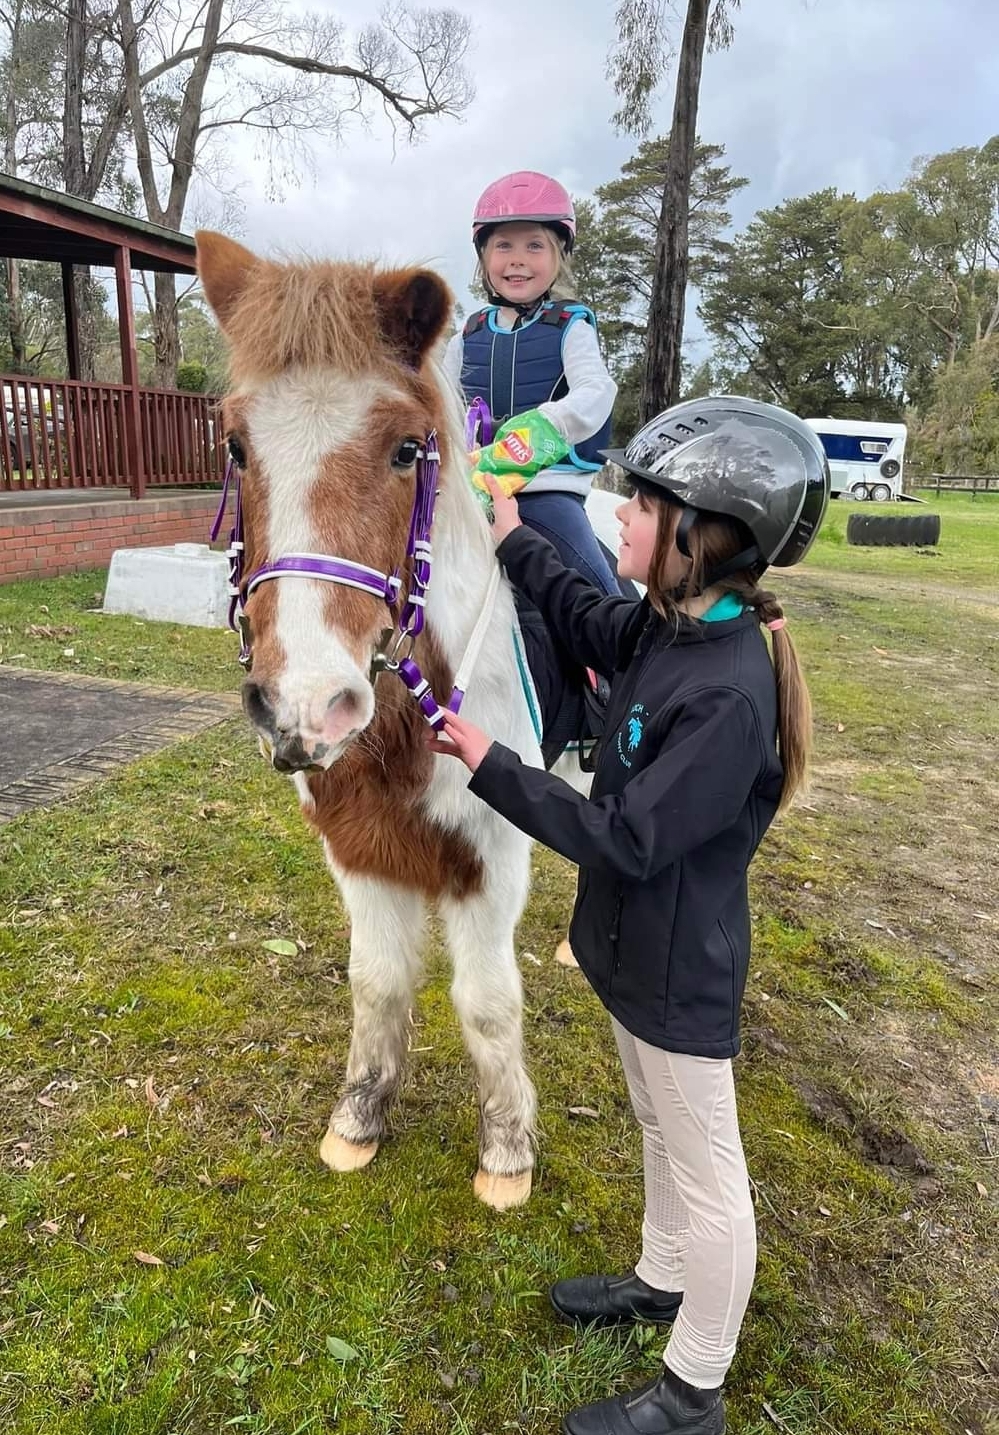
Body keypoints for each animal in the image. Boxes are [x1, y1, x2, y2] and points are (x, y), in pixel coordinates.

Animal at [196, 231, 578, 1210]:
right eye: (236, 444)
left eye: (408, 448)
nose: (303, 705)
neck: (406, 730)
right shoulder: (359, 849)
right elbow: (375, 983)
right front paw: (358, 1119)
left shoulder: (487, 861)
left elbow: (487, 1003)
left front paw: (506, 1154)